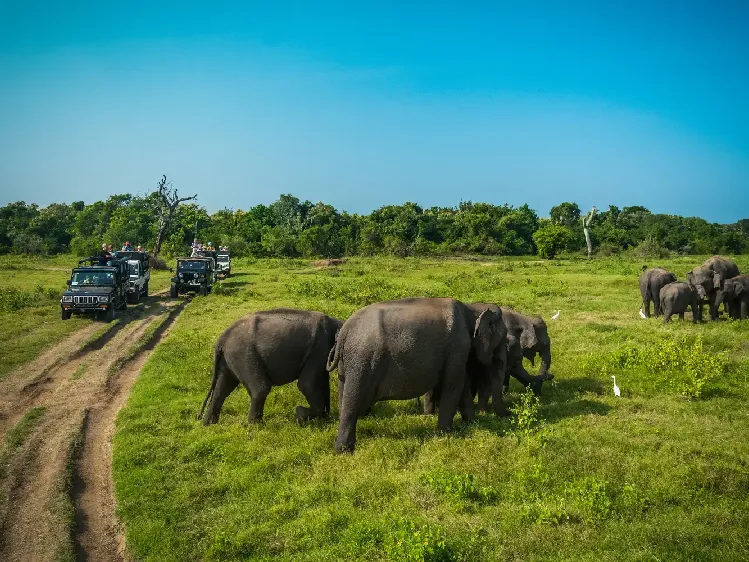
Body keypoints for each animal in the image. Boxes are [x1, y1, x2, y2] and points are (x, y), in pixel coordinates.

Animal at [197, 308, 342, 425]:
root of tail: (222, 338)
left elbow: (323, 382)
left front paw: (325, 419)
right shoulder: (318, 348)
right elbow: (306, 385)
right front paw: (299, 415)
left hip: (228, 359)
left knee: (222, 389)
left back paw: (209, 424)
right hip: (243, 354)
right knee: (260, 388)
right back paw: (255, 427)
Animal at [326, 297, 506, 453]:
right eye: (503, 339)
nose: (507, 415)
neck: (472, 308)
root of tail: (344, 332)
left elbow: (463, 384)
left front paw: (472, 424)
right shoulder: (458, 345)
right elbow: (453, 385)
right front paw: (446, 434)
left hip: (346, 365)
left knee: (344, 398)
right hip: (362, 360)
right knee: (352, 400)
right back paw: (344, 451)